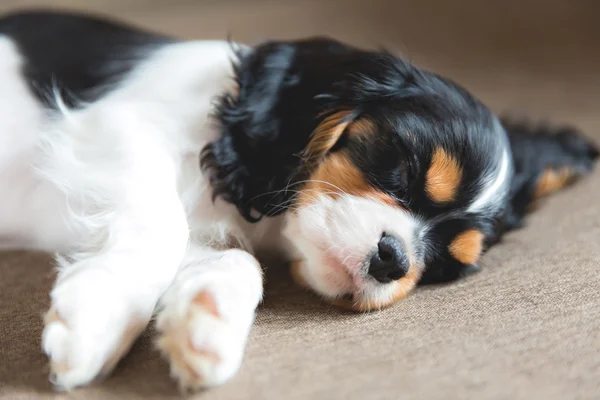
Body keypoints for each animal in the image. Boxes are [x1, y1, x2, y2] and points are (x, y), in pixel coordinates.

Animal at [0, 8, 596, 390]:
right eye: (402, 168)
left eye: (445, 266)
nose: (395, 259)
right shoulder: (114, 126)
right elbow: (162, 223)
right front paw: (98, 320)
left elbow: (233, 260)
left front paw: (206, 319)